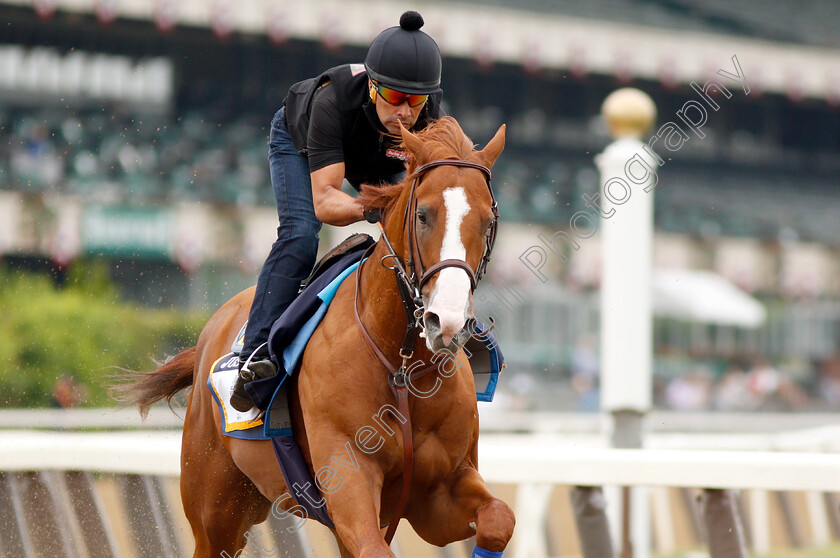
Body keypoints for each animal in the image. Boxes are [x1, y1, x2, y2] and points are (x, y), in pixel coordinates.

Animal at [117, 116, 512, 556]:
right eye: (424, 215)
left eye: (488, 222)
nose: (448, 322)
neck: (402, 367)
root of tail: (212, 330)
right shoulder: (348, 478)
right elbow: (376, 547)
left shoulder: (438, 493)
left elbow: (499, 518)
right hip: (214, 511)